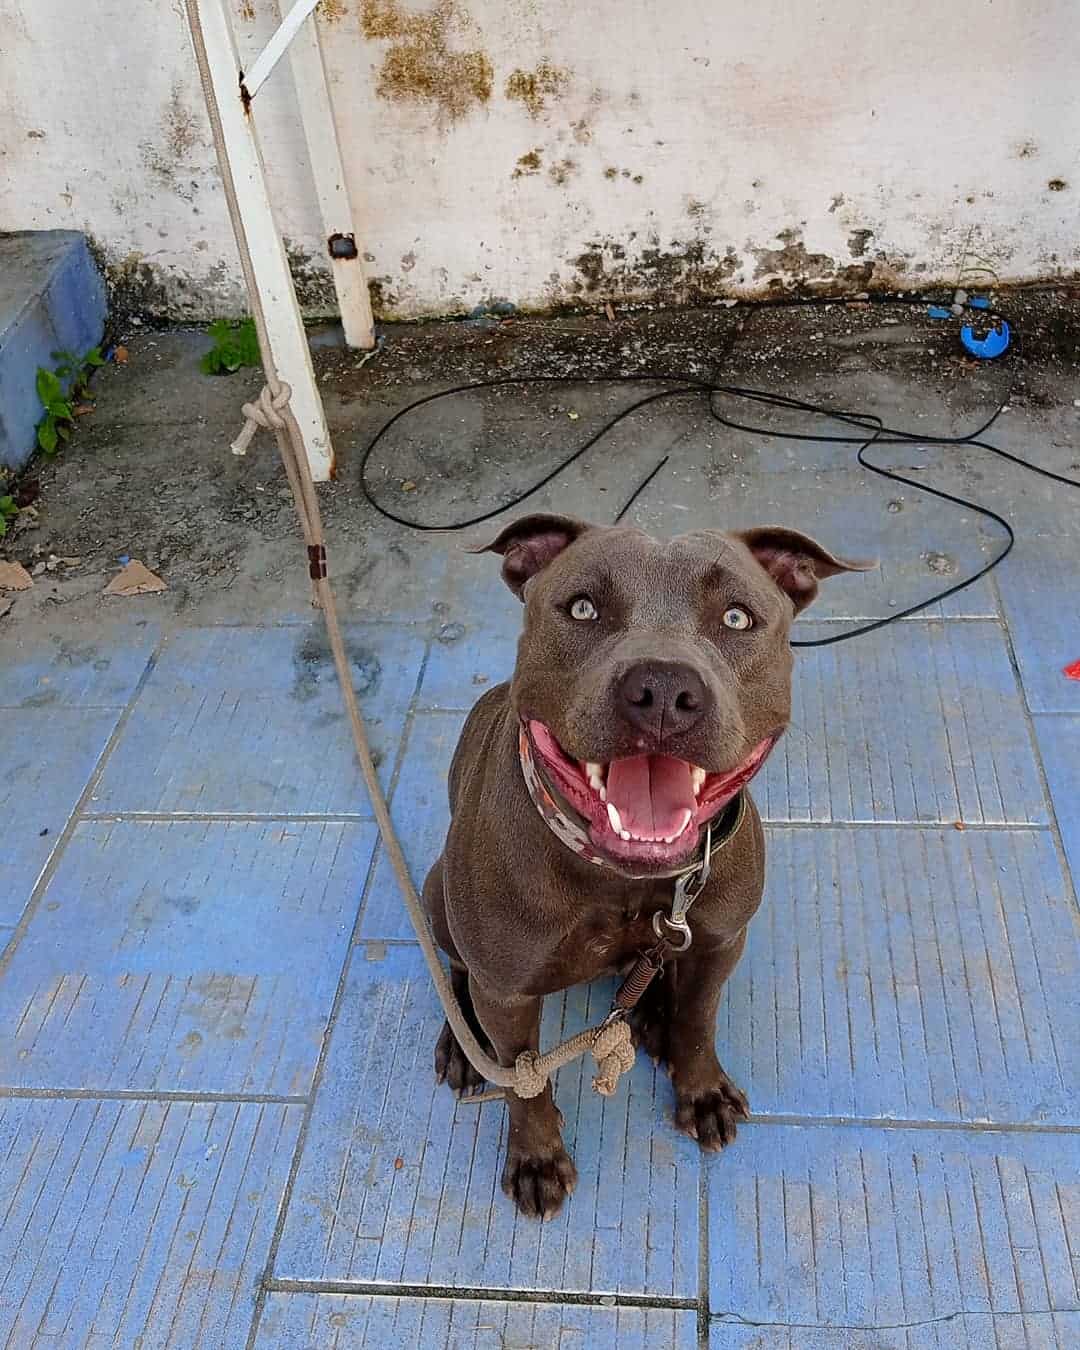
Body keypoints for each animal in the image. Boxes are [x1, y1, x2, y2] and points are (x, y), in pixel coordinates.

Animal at [418, 515, 874, 1225]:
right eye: (582, 608)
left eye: (737, 618)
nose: (662, 688)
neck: (624, 880)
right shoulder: (508, 991)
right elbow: (524, 1082)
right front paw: (537, 1158)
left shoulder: (720, 941)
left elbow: (699, 1020)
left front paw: (701, 1088)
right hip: (438, 893)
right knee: (458, 970)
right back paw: (463, 1043)